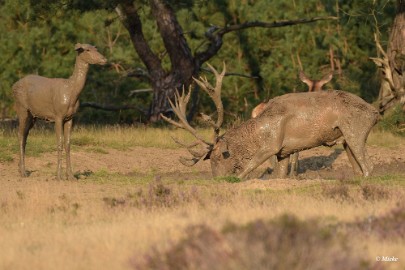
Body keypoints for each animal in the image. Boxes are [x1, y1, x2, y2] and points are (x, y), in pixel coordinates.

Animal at [12, 43, 107, 179]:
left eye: (96, 49)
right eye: (87, 50)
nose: (104, 59)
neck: (71, 92)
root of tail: (13, 86)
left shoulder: (70, 117)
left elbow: (68, 143)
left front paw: (71, 176)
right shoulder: (57, 115)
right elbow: (60, 142)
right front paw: (59, 176)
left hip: (33, 115)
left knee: (24, 135)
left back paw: (21, 169)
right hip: (22, 107)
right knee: (20, 134)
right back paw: (24, 173)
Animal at [163, 64, 378, 179]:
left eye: (217, 158)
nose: (216, 179)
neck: (257, 131)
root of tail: (375, 112)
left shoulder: (273, 144)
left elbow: (248, 168)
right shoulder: (284, 152)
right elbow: (279, 174)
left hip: (355, 130)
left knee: (369, 167)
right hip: (345, 139)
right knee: (358, 169)